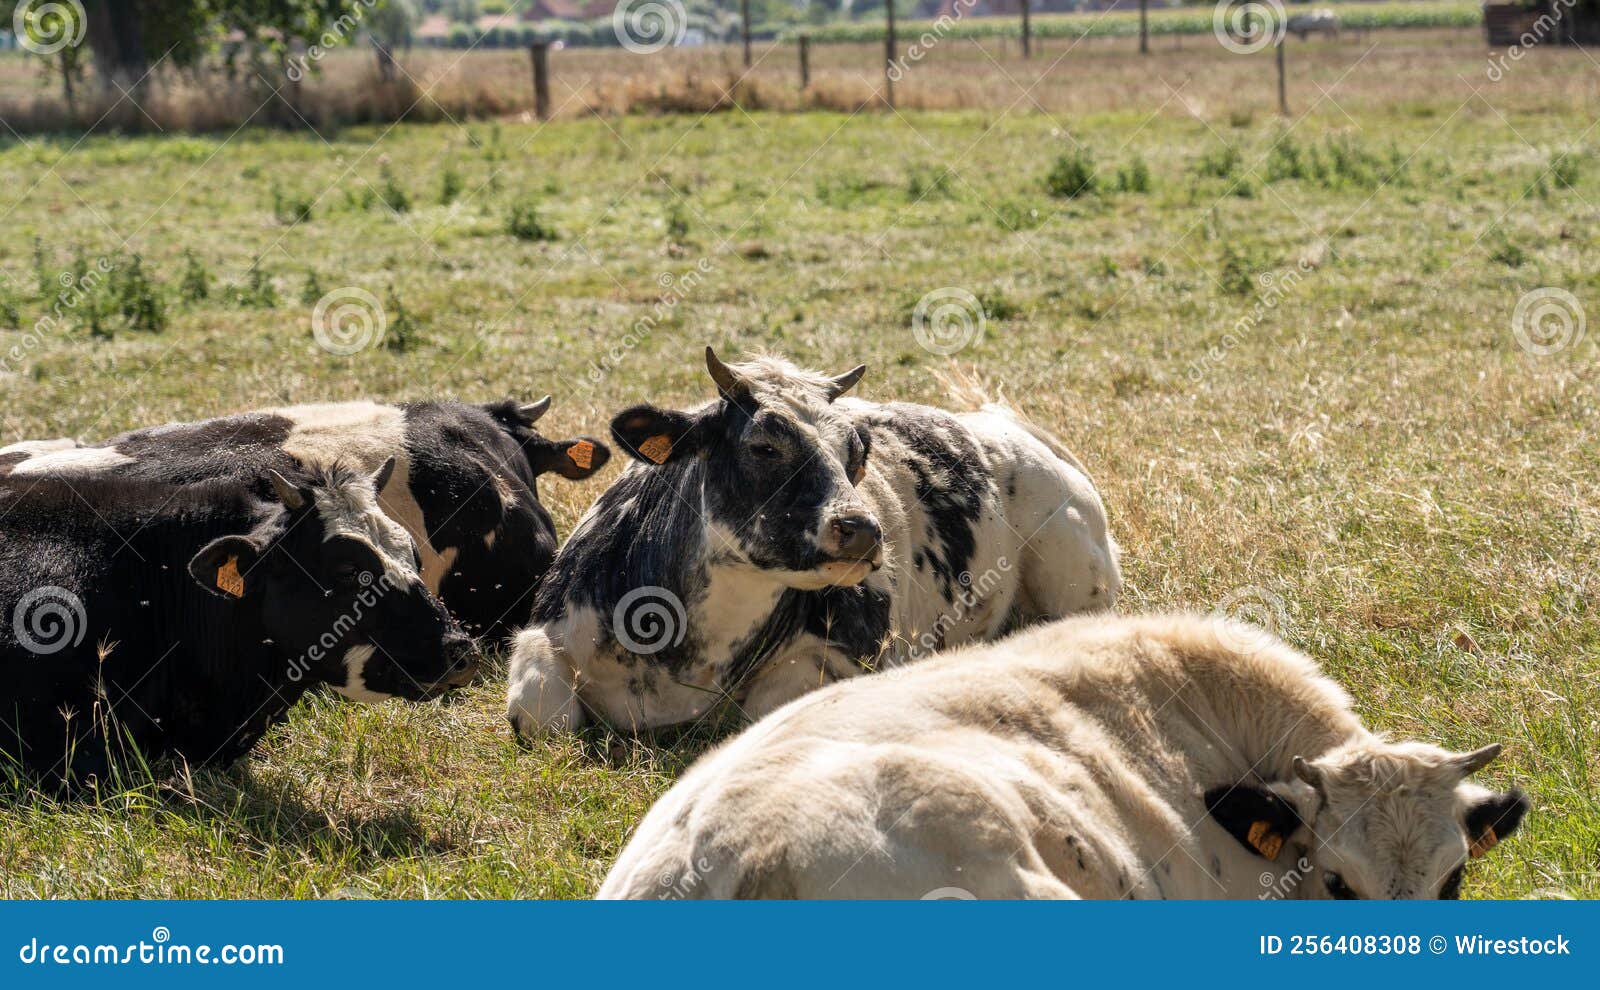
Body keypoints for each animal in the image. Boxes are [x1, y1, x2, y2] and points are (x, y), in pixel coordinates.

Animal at [505, 348, 1120, 737]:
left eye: (857, 452)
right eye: (763, 446)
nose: (862, 529)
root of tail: (1001, 423)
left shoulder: (856, 653)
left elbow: (766, 708)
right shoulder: (543, 632)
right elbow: (541, 718)